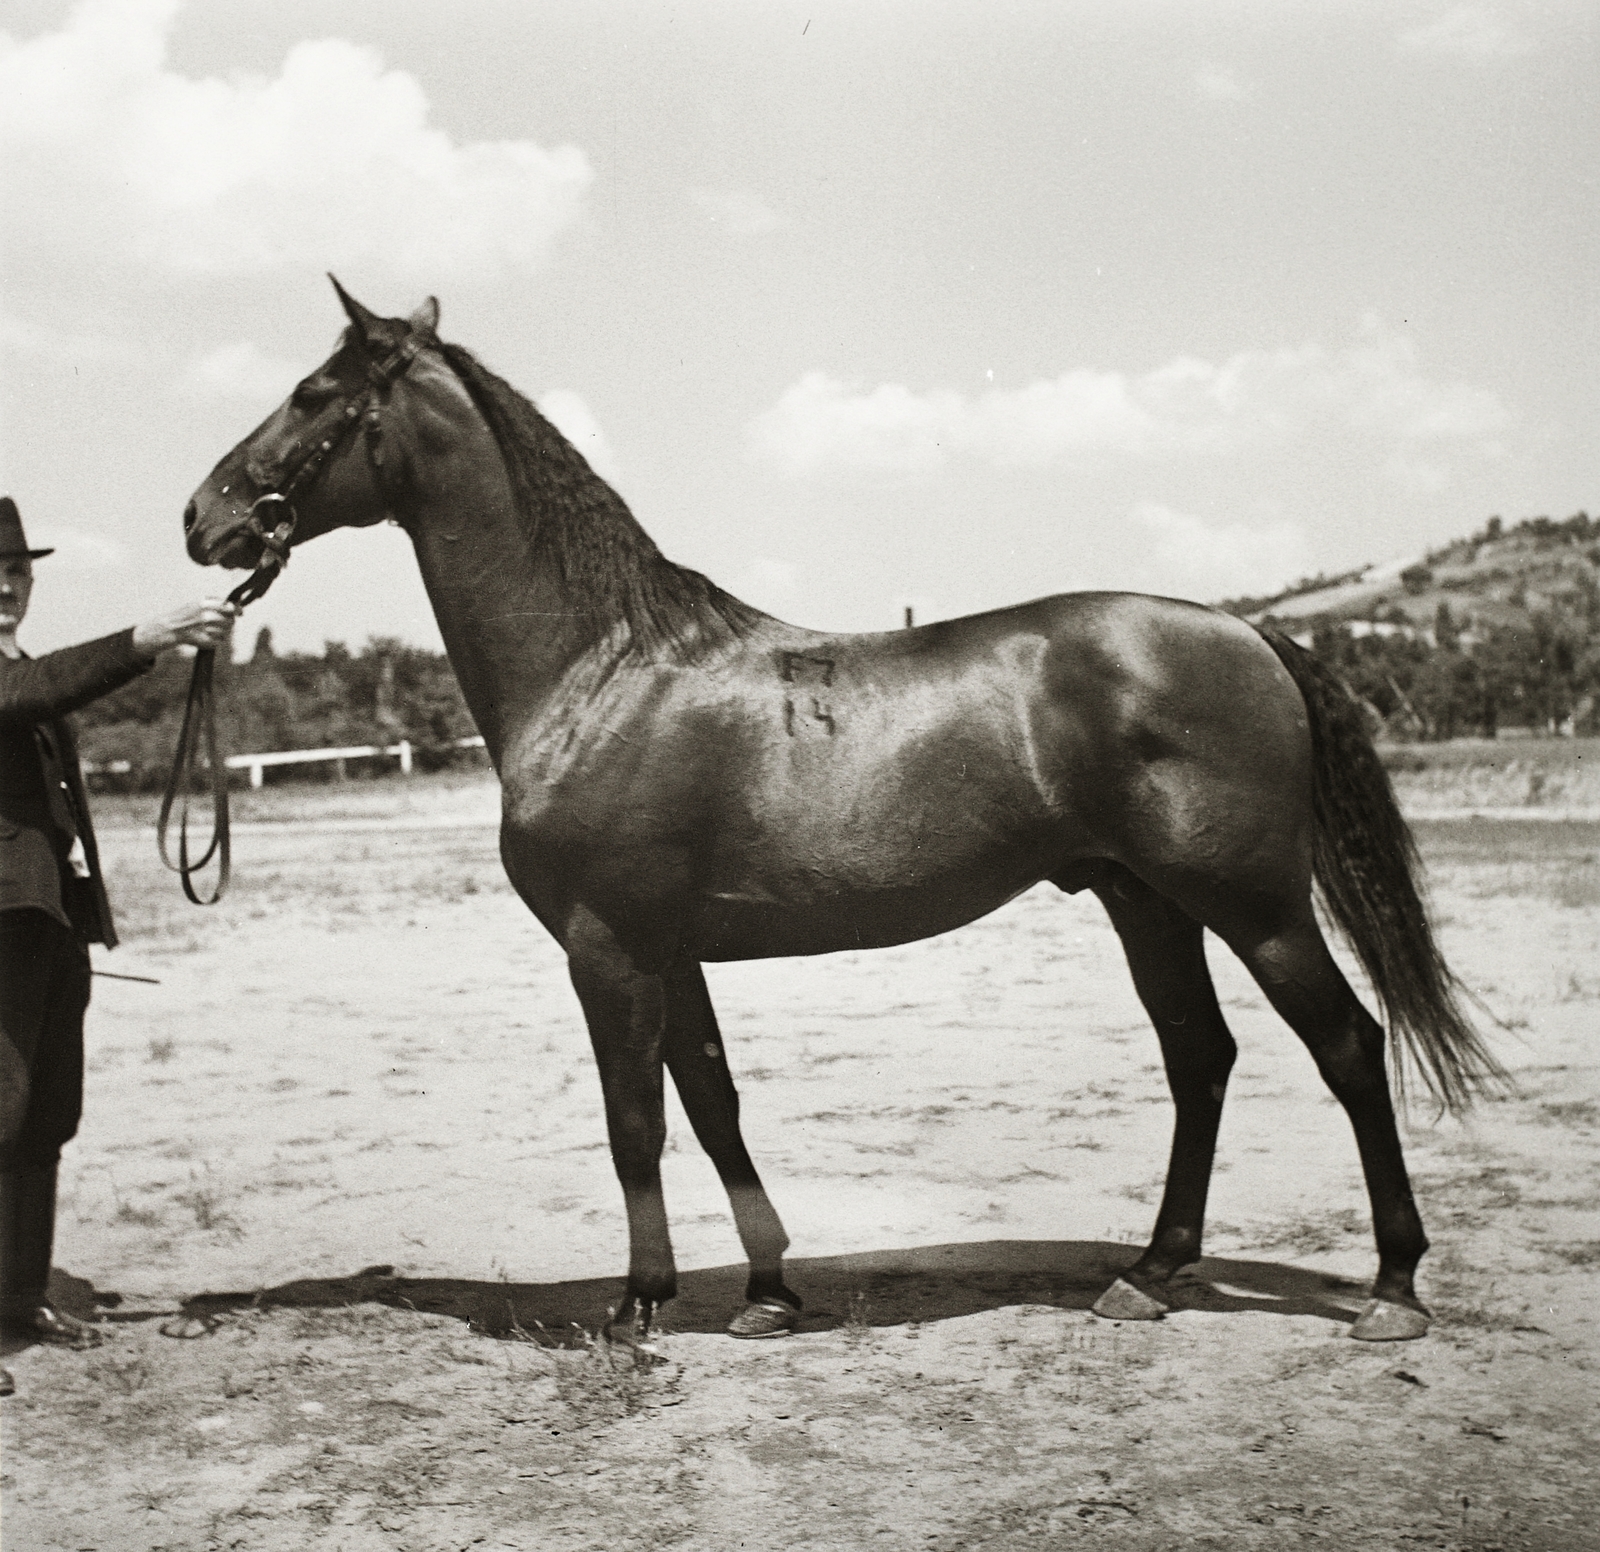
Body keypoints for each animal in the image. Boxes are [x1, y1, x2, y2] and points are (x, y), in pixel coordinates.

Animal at [182, 279, 1504, 1345]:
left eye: (310, 393)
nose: (201, 517)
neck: (601, 669)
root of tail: (1247, 630)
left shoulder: (608, 950)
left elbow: (633, 1122)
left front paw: (638, 1304)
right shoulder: (671, 950)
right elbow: (712, 1103)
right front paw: (768, 1291)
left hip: (1254, 906)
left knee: (1346, 1048)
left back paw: (1391, 1290)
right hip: (1146, 904)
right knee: (1201, 1059)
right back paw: (1149, 1273)